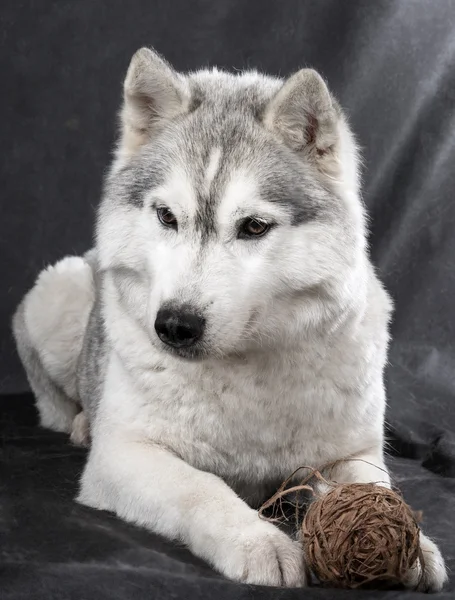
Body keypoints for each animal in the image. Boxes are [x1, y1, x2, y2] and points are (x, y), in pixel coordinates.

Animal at [12, 48, 448, 592]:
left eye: (254, 227)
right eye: (167, 217)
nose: (175, 325)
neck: (244, 373)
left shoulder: (352, 454)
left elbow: (379, 490)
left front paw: (414, 545)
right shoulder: (124, 457)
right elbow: (201, 486)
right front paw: (258, 541)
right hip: (59, 292)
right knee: (58, 402)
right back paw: (79, 424)